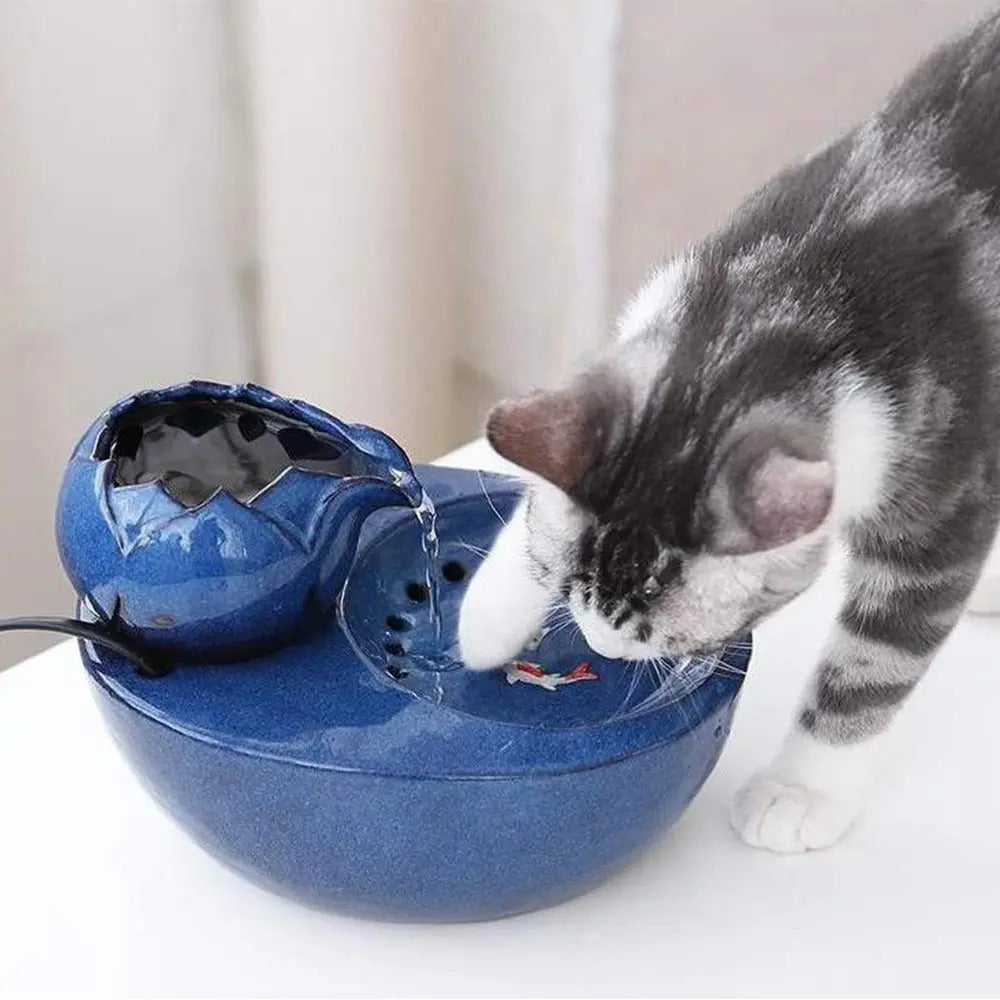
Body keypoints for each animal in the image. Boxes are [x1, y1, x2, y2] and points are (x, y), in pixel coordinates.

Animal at [458, 5, 1000, 852]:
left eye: (663, 639)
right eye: (571, 591)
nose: (599, 645)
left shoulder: (943, 498)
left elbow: (872, 665)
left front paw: (801, 789)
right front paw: (487, 616)